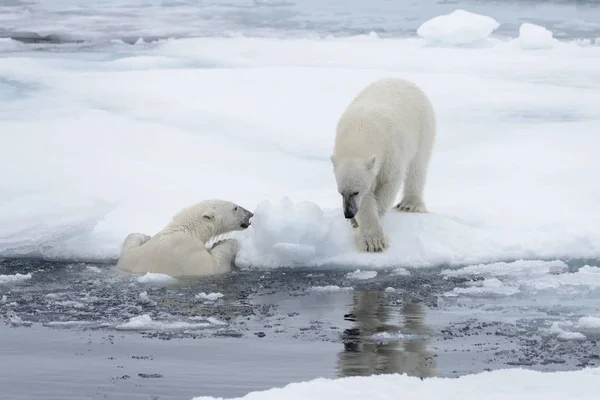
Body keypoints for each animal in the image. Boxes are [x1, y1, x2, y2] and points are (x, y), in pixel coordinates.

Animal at [115, 200, 253, 278]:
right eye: (235, 207)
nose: (250, 214)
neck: (188, 231)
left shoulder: (130, 257)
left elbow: (128, 248)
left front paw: (143, 235)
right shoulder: (189, 257)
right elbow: (215, 265)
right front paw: (225, 242)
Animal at [332, 77, 436, 252]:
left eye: (356, 192)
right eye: (340, 192)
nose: (348, 214)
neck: (360, 132)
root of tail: (404, 81)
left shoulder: (391, 151)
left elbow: (389, 183)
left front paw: (372, 238)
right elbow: (368, 196)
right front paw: (367, 235)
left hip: (424, 128)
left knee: (417, 166)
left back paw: (410, 204)